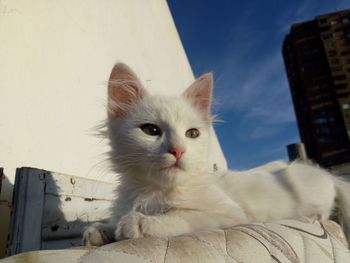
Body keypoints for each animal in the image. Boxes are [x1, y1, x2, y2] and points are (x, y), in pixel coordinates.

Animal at [82, 63, 350, 246]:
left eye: (192, 133)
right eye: (151, 130)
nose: (178, 150)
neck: (152, 191)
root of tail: (325, 174)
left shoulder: (230, 213)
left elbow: (184, 215)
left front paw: (140, 222)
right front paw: (104, 229)